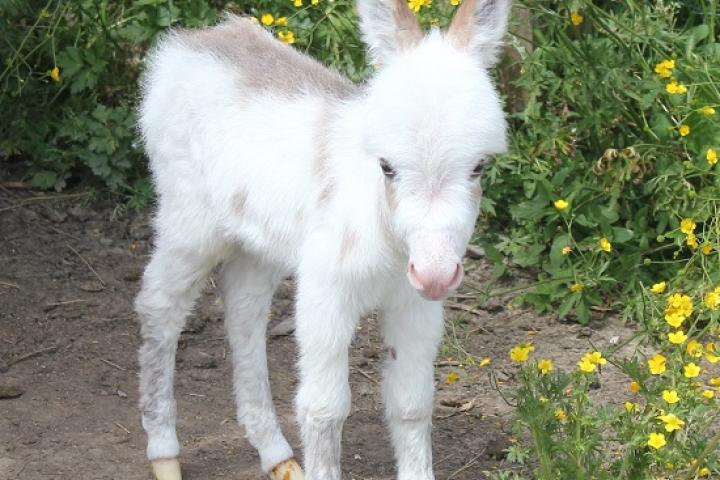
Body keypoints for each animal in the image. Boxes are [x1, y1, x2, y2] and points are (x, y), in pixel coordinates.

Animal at [138, 0, 510, 478]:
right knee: (159, 306)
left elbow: (411, 404)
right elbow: (324, 408)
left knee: (243, 314)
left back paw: (276, 456)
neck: (387, 236)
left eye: (479, 167)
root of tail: (195, 40)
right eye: (386, 166)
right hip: (192, 222)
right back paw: (164, 452)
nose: (435, 275)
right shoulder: (326, 293)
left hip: (260, 242)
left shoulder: (413, 305)